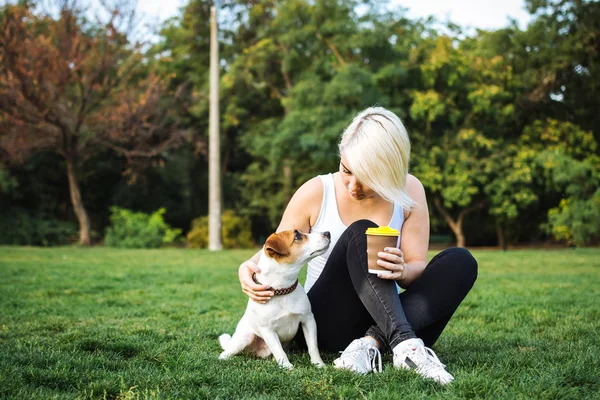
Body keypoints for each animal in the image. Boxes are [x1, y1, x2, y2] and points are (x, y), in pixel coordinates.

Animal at [217, 228, 330, 368]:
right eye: (297, 236)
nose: (327, 233)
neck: (281, 291)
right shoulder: (268, 331)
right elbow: (279, 351)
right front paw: (287, 367)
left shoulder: (308, 319)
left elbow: (313, 346)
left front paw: (319, 364)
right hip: (244, 338)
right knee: (226, 352)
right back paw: (224, 358)